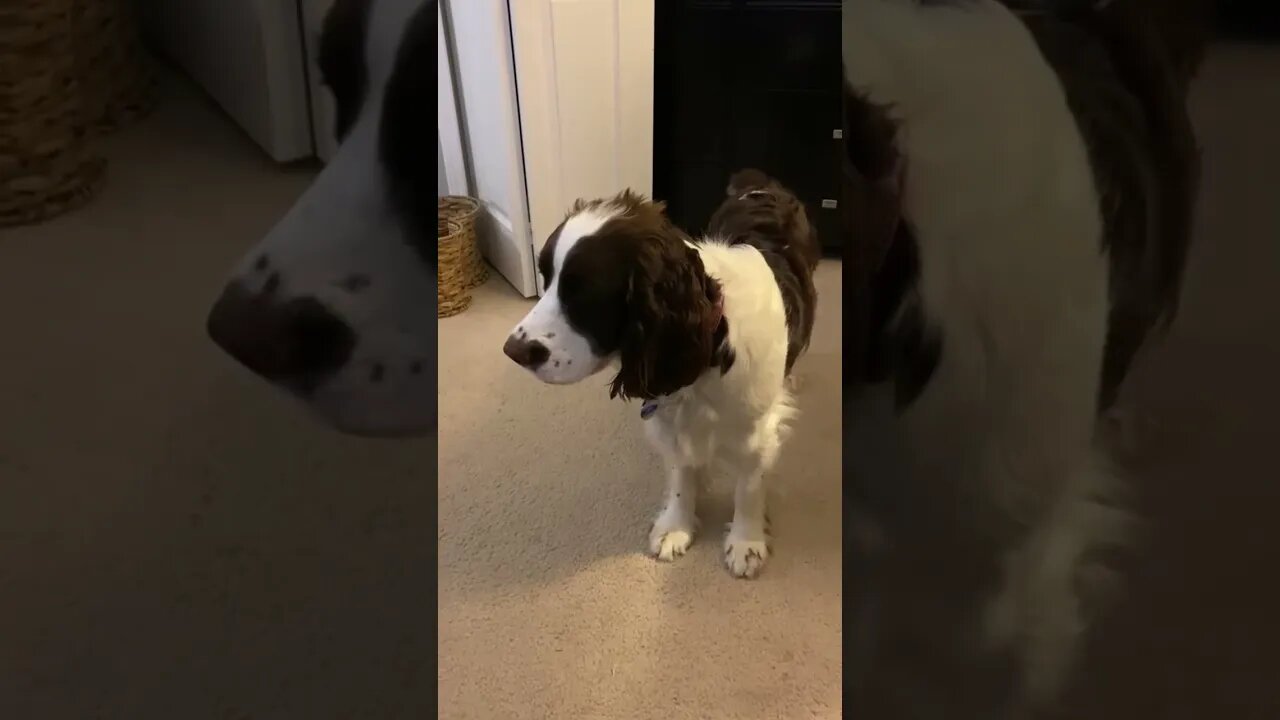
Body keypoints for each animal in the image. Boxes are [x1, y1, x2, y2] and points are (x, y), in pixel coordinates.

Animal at [499, 175, 819, 576]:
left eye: (585, 293)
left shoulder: (755, 431)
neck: (709, 348)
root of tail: (763, 182)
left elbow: (748, 486)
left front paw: (746, 542)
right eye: (545, 279)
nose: (513, 351)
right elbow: (682, 473)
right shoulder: (669, 413)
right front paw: (676, 527)